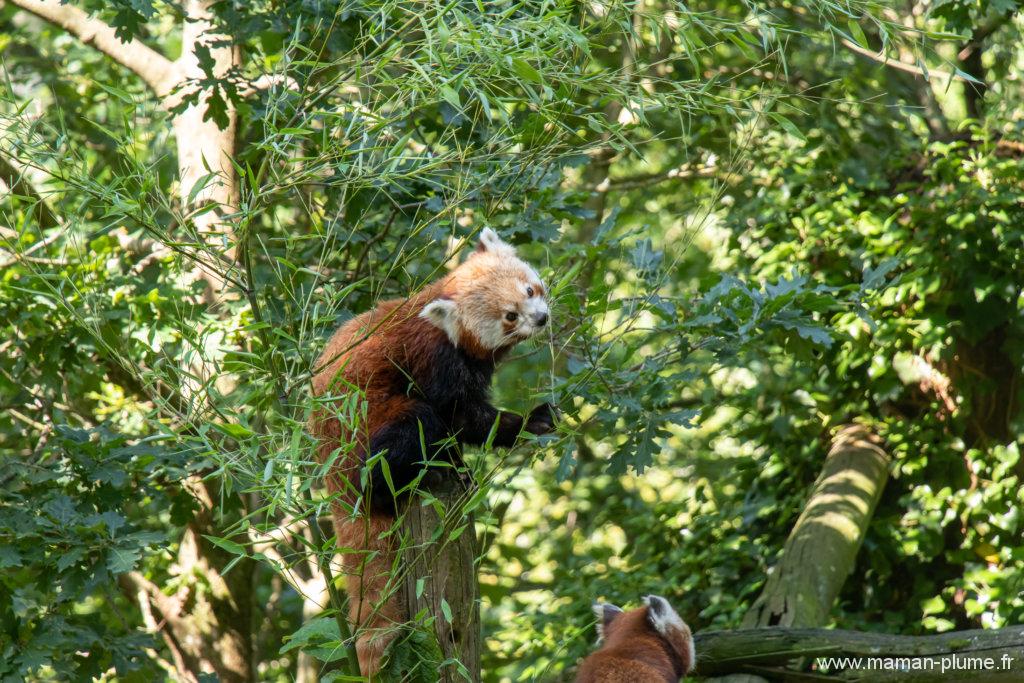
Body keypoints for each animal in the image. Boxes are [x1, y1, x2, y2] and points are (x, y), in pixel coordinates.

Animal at [309, 229, 557, 679]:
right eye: (510, 316)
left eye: (530, 290)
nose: (541, 318)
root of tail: (327, 465)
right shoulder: (435, 362)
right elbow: (463, 418)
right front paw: (527, 423)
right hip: (368, 426)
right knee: (407, 434)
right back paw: (420, 479)